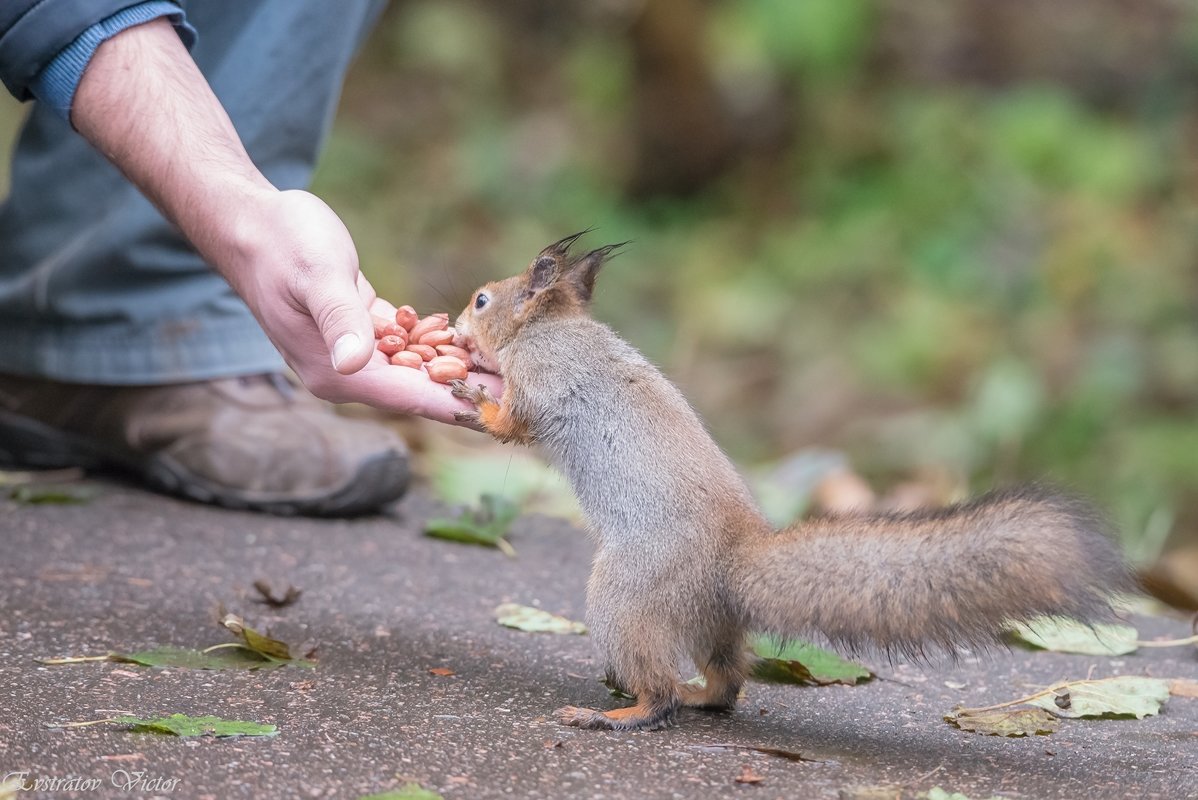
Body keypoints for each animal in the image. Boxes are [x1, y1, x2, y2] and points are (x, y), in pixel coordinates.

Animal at [445, 231, 1126, 732]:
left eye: (481, 301)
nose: (453, 324)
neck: (549, 326)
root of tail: (733, 561)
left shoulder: (542, 376)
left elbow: (515, 423)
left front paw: (473, 400)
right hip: (711, 623)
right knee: (726, 683)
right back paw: (698, 696)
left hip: (627, 598)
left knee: (660, 694)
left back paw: (618, 713)